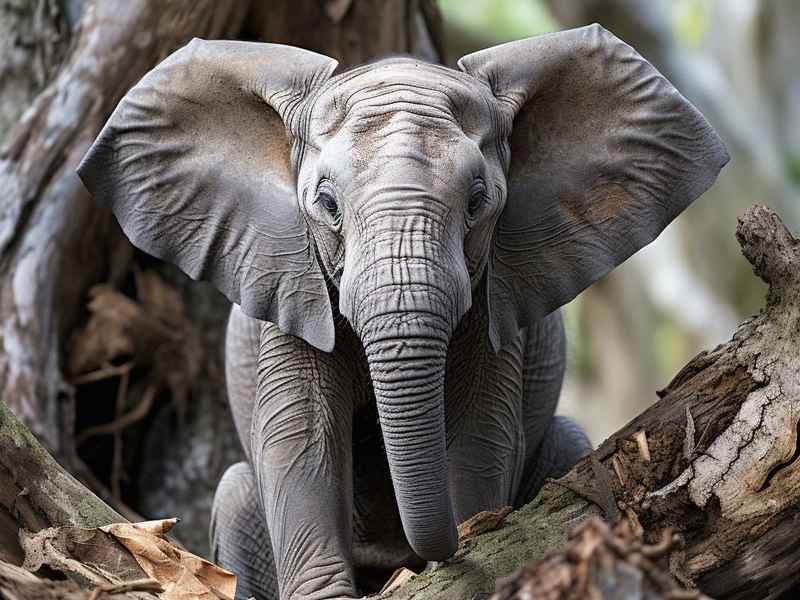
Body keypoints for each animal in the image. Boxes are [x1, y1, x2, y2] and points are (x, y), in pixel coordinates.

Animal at [78, 24, 728, 600]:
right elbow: (300, 437)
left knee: (569, 440)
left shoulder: (493, 299)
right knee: (236, 491)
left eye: (478, 202)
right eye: (327, 203)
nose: (424, 558)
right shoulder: (293, 287)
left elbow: (480, 431)